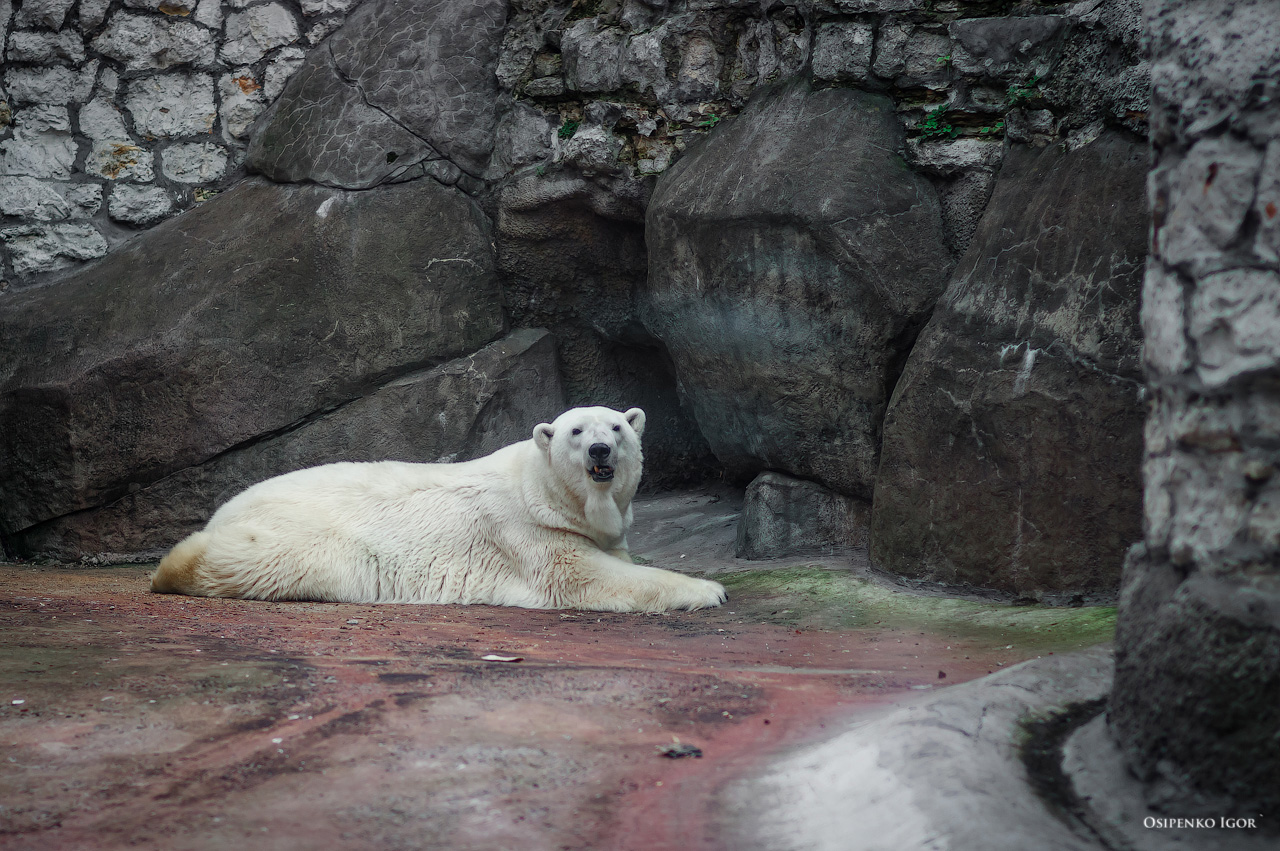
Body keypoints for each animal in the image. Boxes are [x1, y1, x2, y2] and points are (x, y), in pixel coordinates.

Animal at [149, 406, 727, 611]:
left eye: (617, 427)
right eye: (576, 431)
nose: (601, 451)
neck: (540, 489)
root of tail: (226, 509)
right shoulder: (524, 532)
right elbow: (587, 576)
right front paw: (709, 589)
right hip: (303, 538)